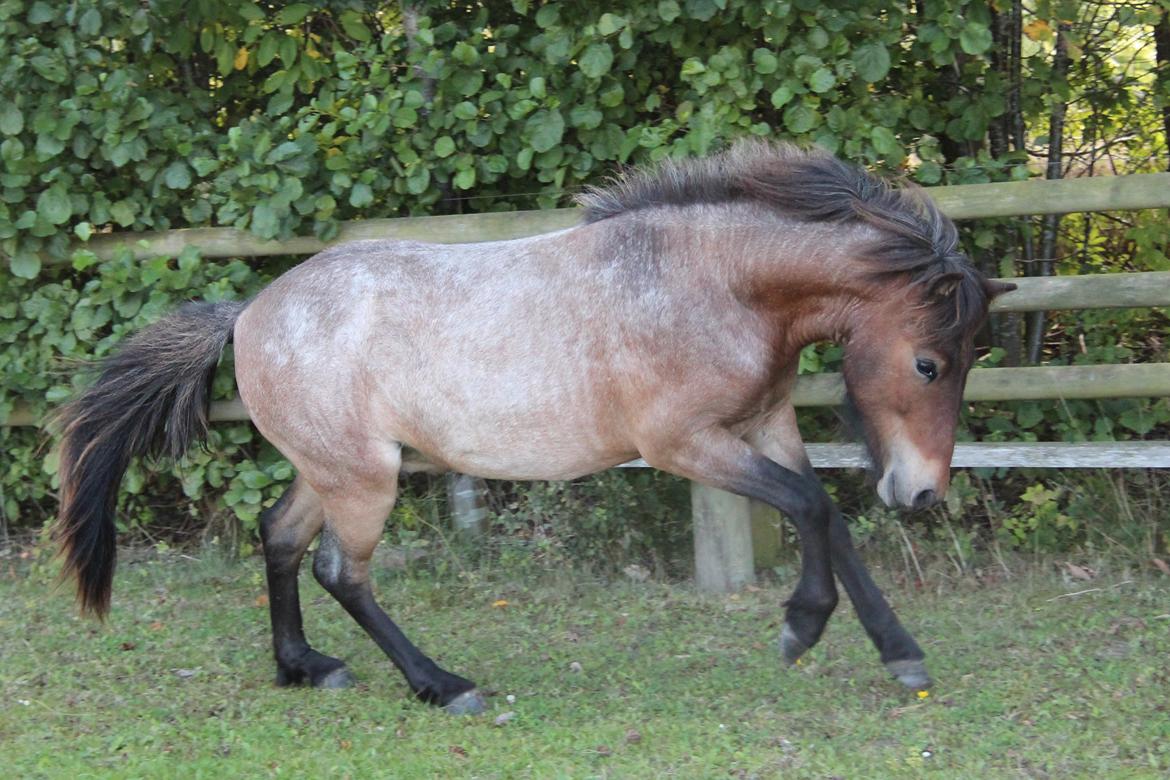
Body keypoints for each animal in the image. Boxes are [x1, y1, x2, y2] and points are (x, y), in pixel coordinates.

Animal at [52, 142, 1015, 720]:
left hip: (334, 470)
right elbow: (814, 510)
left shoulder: (764, 424)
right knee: (340, 572)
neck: (714, 282)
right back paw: (442, 685)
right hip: (365, 480)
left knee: (279, 537)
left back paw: (305, 667)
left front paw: (902, 657)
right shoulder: (684, 445)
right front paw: (800, 627)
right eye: (929, 364)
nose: (922, 493)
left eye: (970, 359)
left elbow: (830, 518)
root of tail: (247, 312)